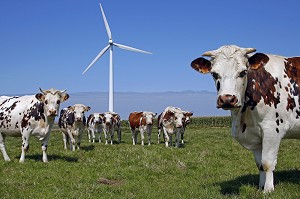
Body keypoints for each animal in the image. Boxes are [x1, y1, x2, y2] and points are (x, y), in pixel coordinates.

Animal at [191, 44, 300, 192]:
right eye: (214, 74)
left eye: (243, 72)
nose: (227, 99)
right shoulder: (255, 135)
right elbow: (260, 164)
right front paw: (260, 187)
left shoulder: (273, 129)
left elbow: (267, 163)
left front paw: (268, 190)